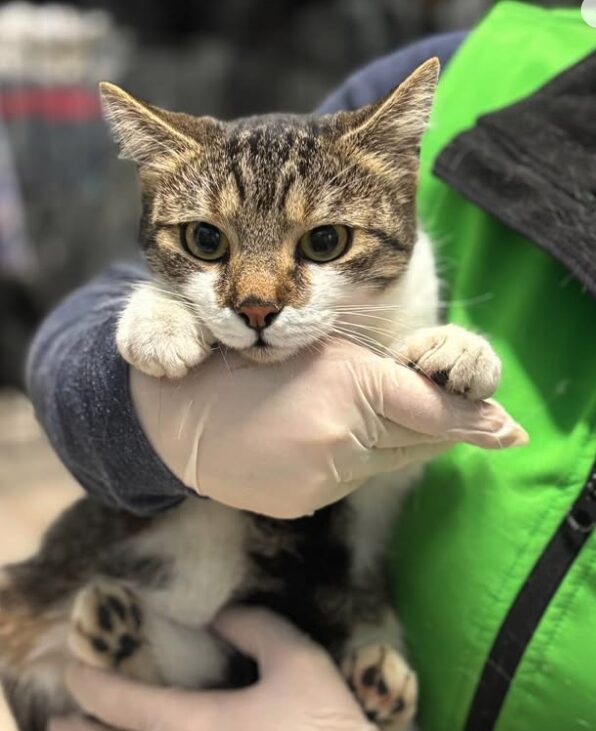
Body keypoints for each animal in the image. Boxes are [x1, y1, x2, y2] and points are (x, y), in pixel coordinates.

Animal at [0, 58, 502, 731]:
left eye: (326, 242)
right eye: (205, 240)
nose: (257, 308)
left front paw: (456, 348)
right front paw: (158, 320)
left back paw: (374, 679)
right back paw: (117, 634)